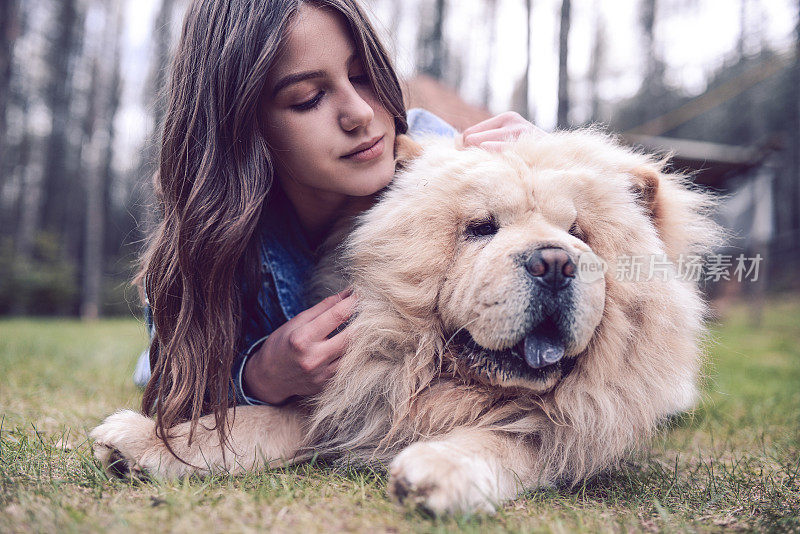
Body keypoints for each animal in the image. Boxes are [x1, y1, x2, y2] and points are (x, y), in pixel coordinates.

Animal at [92, 130, 720, 516]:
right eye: (481, 228)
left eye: (579, 235)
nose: (555, 261)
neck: (450, 388)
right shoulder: (356, 396)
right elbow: (255, 420)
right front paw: (144, 442)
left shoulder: (567, 430)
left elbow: (506, 442)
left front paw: (437, 469)